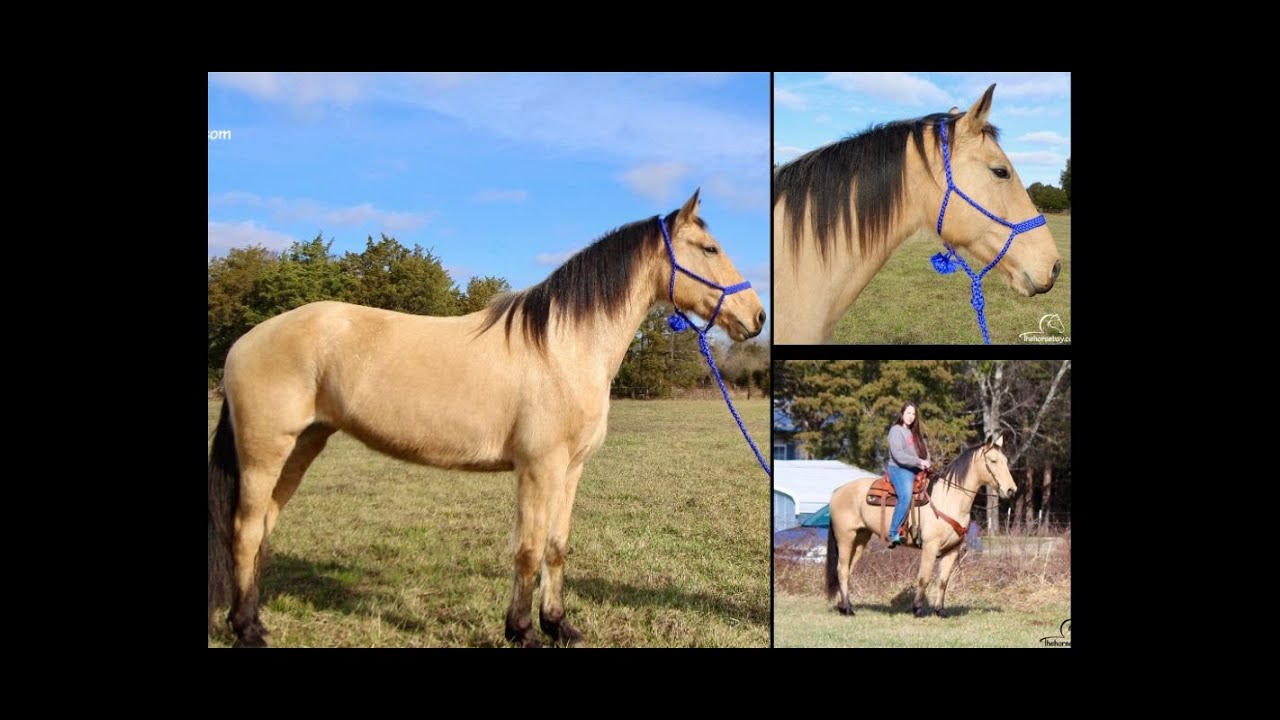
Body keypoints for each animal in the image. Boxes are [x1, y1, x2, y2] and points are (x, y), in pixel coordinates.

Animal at [207, 189, 766, 647]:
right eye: (709, 249)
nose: (757, 317)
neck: (563, 346)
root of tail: (246, 341)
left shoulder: (571, 469)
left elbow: (557, 547)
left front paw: (559, 626)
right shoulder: (538, 468)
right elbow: (528, 549)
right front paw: (521, 632)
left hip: (303, 445)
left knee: (263, 528)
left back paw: (252, 618)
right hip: (265, 452)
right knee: (245, 530)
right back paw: (248, 630)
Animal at [825, 432, 1017, 618]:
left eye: (1005, 460)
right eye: (993, 460)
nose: (1011, 490)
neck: (948, 499)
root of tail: (836, 492)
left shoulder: (953, 549)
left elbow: (943, 580)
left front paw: (940, 611)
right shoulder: (930, 546)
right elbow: (924, 578)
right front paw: (917, 609)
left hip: (860, 538)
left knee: (848, 570)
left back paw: (843, 606)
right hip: (845, 537)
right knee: (842, 570)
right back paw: (848, 609)